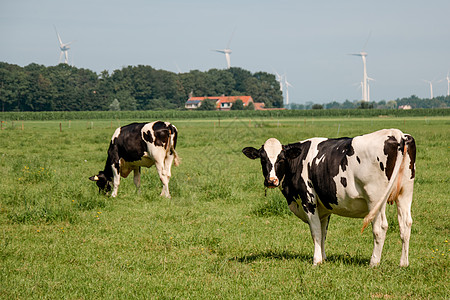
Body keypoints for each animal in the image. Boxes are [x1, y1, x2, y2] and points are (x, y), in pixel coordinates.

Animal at [244, 129, 416, 268]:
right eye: (263, 159)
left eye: (281, 159)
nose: (271, 181)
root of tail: (397, 134)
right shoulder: (324, 208)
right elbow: (323, 232)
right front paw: (324, 258)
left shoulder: (309, 201)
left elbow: (315, 232)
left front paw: (316, 260)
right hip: (405, 193)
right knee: (405, 225)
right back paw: (404, 263)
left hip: (375, 200)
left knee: (380, 227)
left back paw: (374, 262)